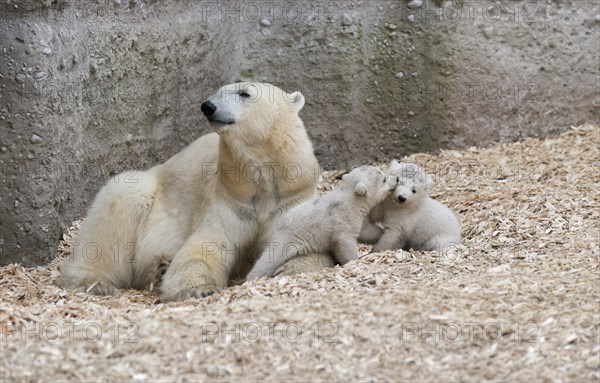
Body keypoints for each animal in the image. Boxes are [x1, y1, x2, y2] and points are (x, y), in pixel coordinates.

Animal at [61, 82, 322, 302]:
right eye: (218, 90)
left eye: (244, 93)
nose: (208, 106)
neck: (263, 180)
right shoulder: (230, 200)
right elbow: (206, 247)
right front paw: (200, 289)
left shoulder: (290, 198)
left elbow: (298, 240)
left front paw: (287, 268)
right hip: (145, 190)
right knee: (118, 208)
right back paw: (93, 282)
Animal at [246, 166, 396, 280]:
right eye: (384, 179)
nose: (397, 179)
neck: (350, 199)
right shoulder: (341, 219)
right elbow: (344, 243)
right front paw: (354, 261)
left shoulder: (357, 218)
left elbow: (366, 231)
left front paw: (382, 233)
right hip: (290, 237)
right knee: (270, 258)